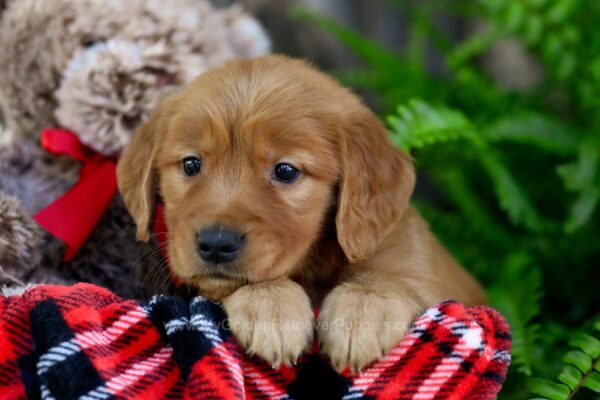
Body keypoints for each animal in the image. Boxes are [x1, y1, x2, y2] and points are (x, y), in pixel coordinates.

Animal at [118, 54, 488, 372]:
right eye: (191, 164)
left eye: (285, 171)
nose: (216, 244)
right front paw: (270, 305)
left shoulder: (431, 273)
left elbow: (397, 281)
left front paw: (362, 312)